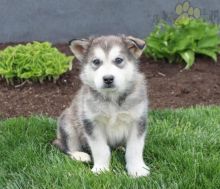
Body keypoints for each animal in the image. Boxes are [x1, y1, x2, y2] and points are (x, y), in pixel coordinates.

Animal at [53, 35, 150, 177]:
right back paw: (80, 155)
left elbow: (134, 148)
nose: (108, 79)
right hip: (67, 125)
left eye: (118, 60)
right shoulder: (91, 122)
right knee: (65, 146)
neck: (112, 98)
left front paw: (137, 169)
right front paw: (101, 169)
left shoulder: (138, 120)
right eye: (96, 61)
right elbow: (100, 149)